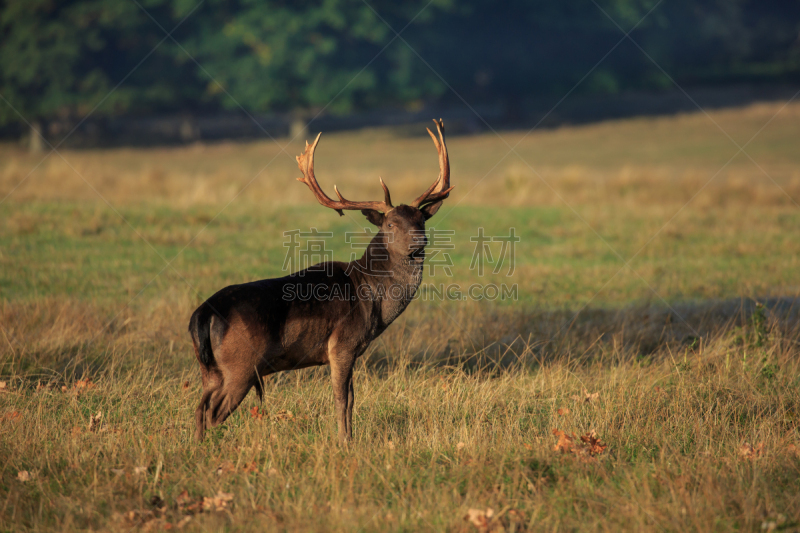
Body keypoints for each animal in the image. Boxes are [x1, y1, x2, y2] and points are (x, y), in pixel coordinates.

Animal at [186, 119, 450, 440]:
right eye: (390, 223)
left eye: (421, 220)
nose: (419, 241)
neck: (372, 297)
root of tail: (201, 315)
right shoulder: (342, 343)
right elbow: (342, 399)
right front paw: (344, 440)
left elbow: (351, 399)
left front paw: (350, 438)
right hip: (241, 365)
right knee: (214, 412)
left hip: (209, 367)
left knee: (200, 407)